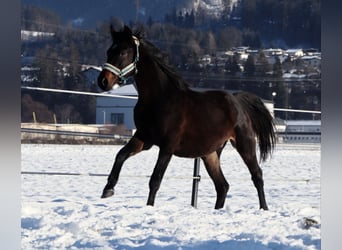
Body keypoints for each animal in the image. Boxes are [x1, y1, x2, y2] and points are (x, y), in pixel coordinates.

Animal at [96, 25, 276, 210]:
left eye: (123, 52)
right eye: (109, 51)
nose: (103, 81)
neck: (159, 98)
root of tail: (238, 101)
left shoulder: (167, 146)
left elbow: (155, 179)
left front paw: (149, 206)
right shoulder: (143, 138)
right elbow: (120, 155)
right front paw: (108, 189)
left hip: (244, 143)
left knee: (257, 175)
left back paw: (264, 208)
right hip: (210, 153)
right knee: (222, 186)